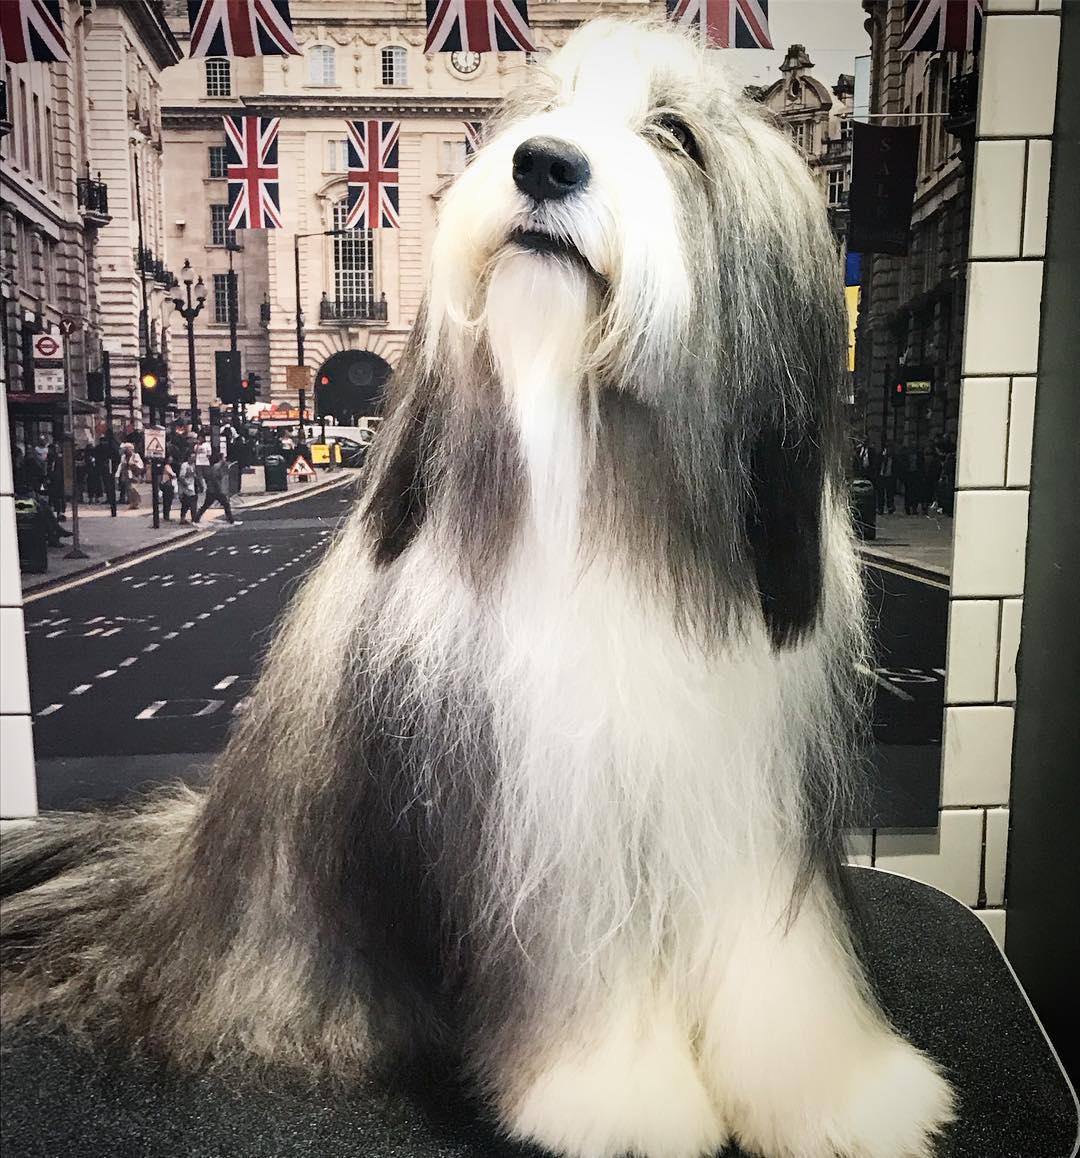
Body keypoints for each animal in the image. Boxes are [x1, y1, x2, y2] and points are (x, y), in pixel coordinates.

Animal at [1, 18, 954, 1158]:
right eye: (537, 114)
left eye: (675, 135)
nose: (542, 163)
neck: (616, 490)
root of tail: (181, 874)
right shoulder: (547, 825)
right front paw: (616, 1101)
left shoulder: (747, 795)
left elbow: (779, 968)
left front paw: (840, 1097)